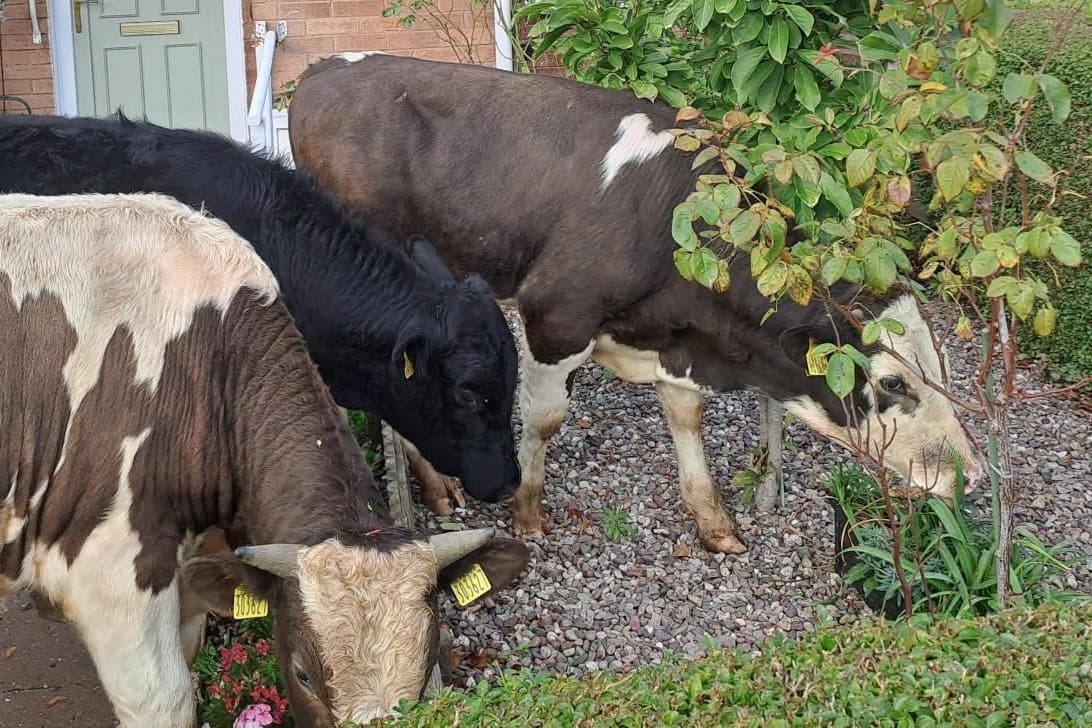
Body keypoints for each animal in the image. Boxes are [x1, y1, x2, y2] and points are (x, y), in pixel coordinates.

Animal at [287, 54, 984, 555]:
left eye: (945, 370)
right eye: (893, 382)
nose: (972, 474)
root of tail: (325, 71)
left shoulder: (674, 340)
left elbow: (686, 416)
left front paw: (713, 522)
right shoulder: (555, 317)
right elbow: (544, 419)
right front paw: (528, 512)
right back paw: (437, 489)